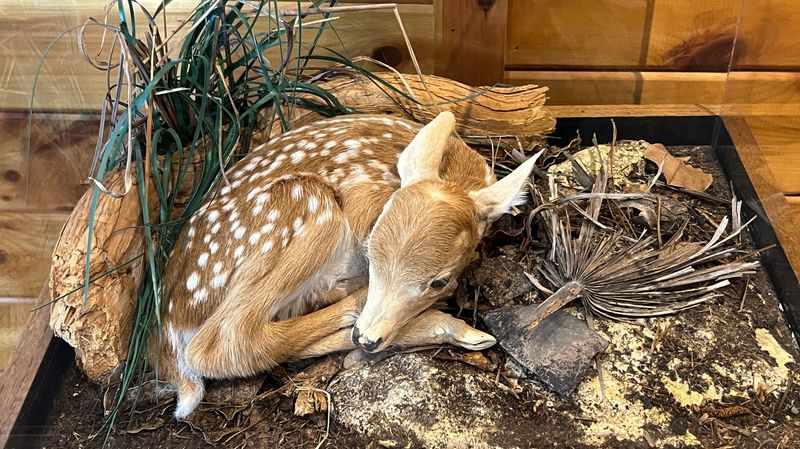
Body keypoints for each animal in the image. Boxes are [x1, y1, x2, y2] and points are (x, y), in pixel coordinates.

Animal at [152, 111, 543, 418]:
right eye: (370, 253)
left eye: (438, 280)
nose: (367, 337)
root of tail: (171, 326)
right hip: (307, 206)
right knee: (224, 342)